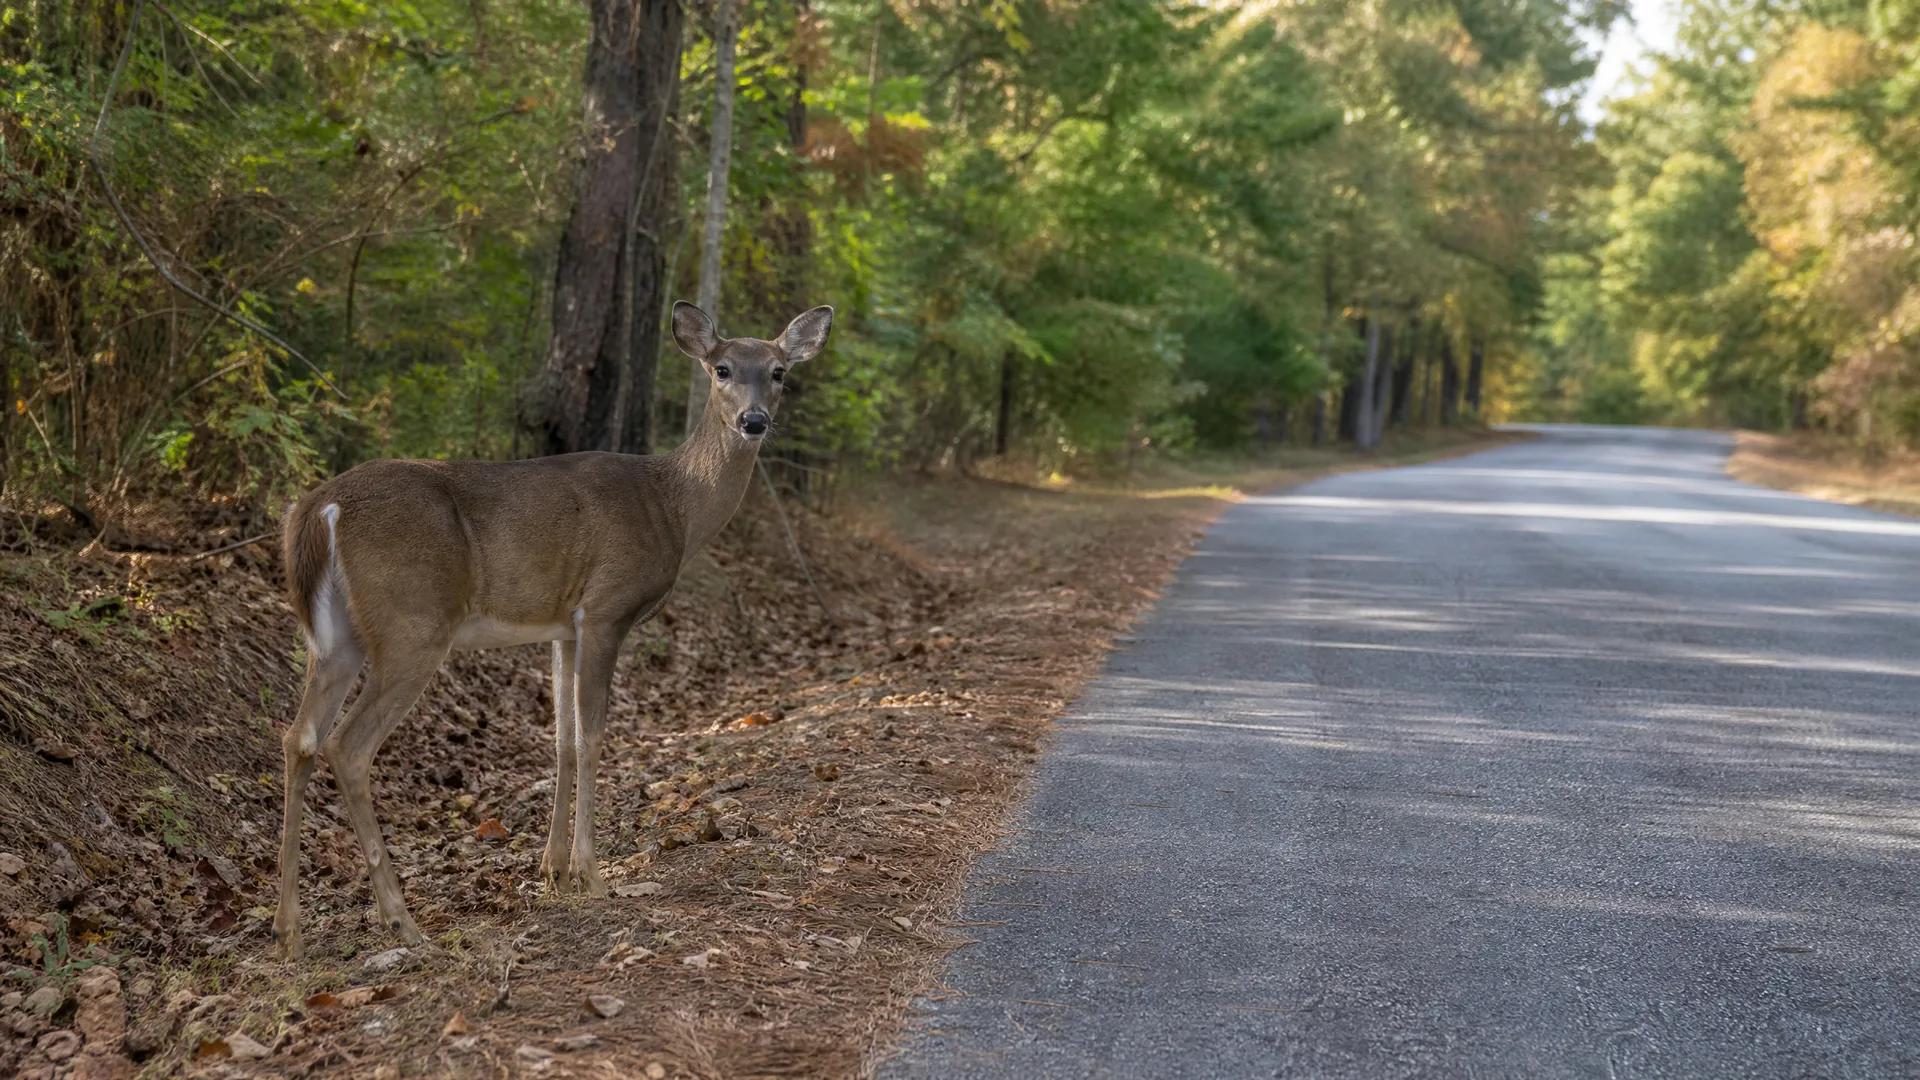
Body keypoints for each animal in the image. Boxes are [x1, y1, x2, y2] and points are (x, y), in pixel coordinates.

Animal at [270, 302, 832, 960]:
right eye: (721, 368)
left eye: (778, 372)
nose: (754, 420)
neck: (674, 507)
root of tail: (317, 509)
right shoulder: (607, 609)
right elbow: (592, 739)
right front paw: (593, 875)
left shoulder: (563, 627)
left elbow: (561, 742)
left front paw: (553, 870)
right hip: (413, 624)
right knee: (348, 746)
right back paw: (402, 922)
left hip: (337, 638)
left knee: (300, 738)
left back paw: (289, 929)